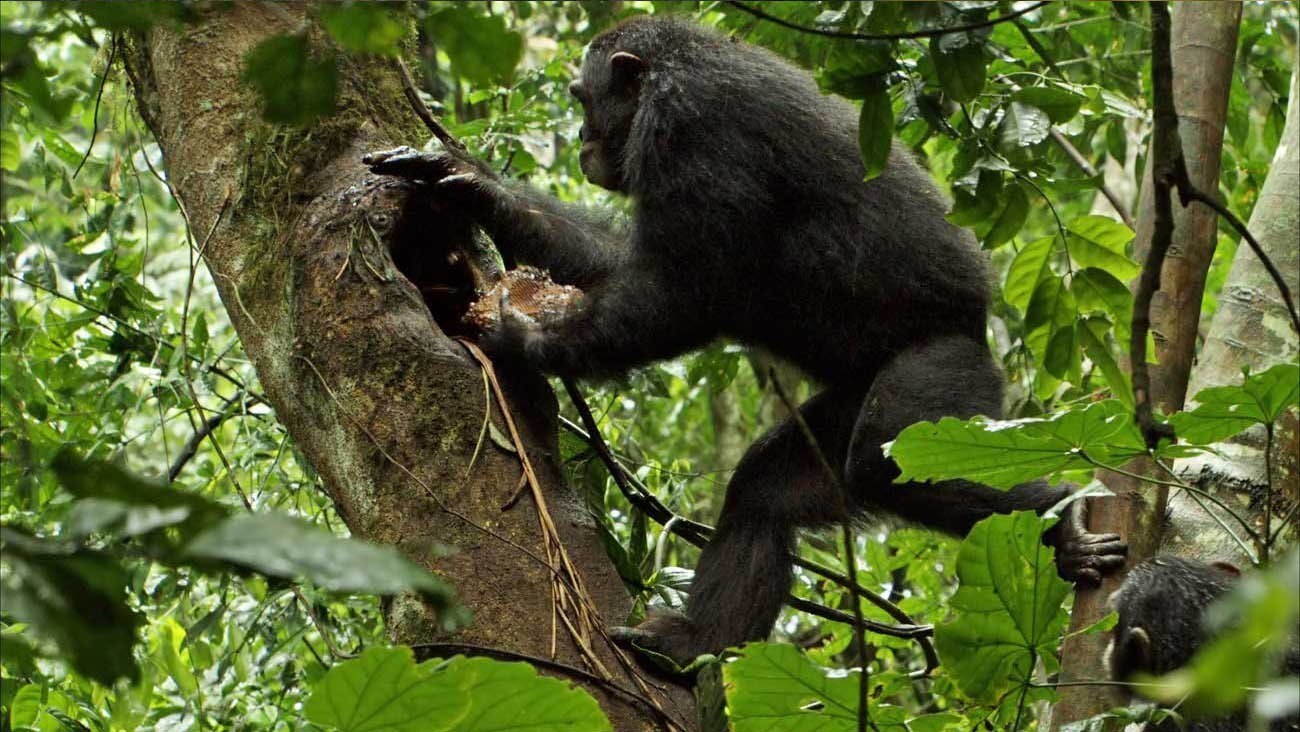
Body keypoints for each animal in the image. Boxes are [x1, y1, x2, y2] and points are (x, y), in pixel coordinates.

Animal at [366, 14, 1128, 665]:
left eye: (583, 98)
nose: (582, 139)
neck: (674, 70)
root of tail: (983, 333)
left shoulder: (691, 129)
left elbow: (678, 291)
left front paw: (516, 332)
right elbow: (616, 263)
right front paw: (467, 184)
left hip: (945, 381)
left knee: (885, 462)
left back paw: (1064, 529)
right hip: (854, 404)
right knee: (767, 489)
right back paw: (692, 644)